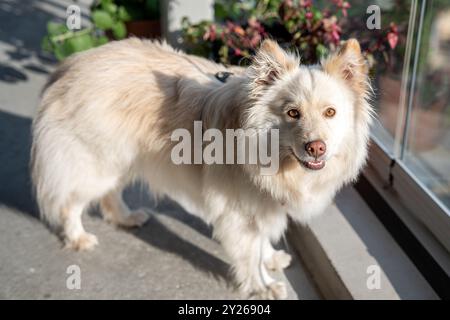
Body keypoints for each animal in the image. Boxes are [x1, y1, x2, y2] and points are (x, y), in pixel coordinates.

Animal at [31, 38, 372, 300]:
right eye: (292, 113)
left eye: (330, 113)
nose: (316, 147)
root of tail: (72, 64)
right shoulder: (239, 213)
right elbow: (249, 255)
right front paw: (262, 287)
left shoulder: (259, 206)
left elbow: (261, 242)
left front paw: (271, 258)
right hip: (97, 163)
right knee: (70, 204)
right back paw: (79, 237)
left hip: (121, 160)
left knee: (110, 195)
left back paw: (126, 218)